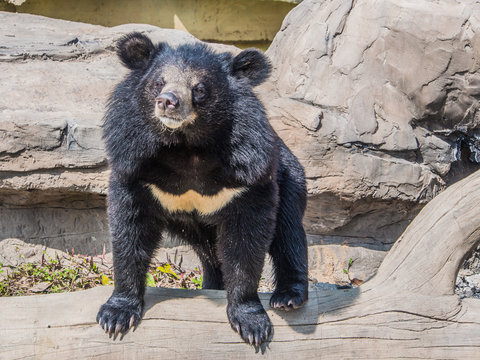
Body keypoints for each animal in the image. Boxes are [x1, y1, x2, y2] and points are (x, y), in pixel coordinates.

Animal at [96, 33, 308, 346]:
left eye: (199, 89)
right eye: (158, 82)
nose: (167, 101)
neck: (188, 147)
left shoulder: (249, 172)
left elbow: (247, 242)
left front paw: (251, 323)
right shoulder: (132, 161)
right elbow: (129, 229)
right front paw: (116, 315)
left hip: (290, 177)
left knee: (288, 231)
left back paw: (288, 297)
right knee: (212, 256)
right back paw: (212, 287)